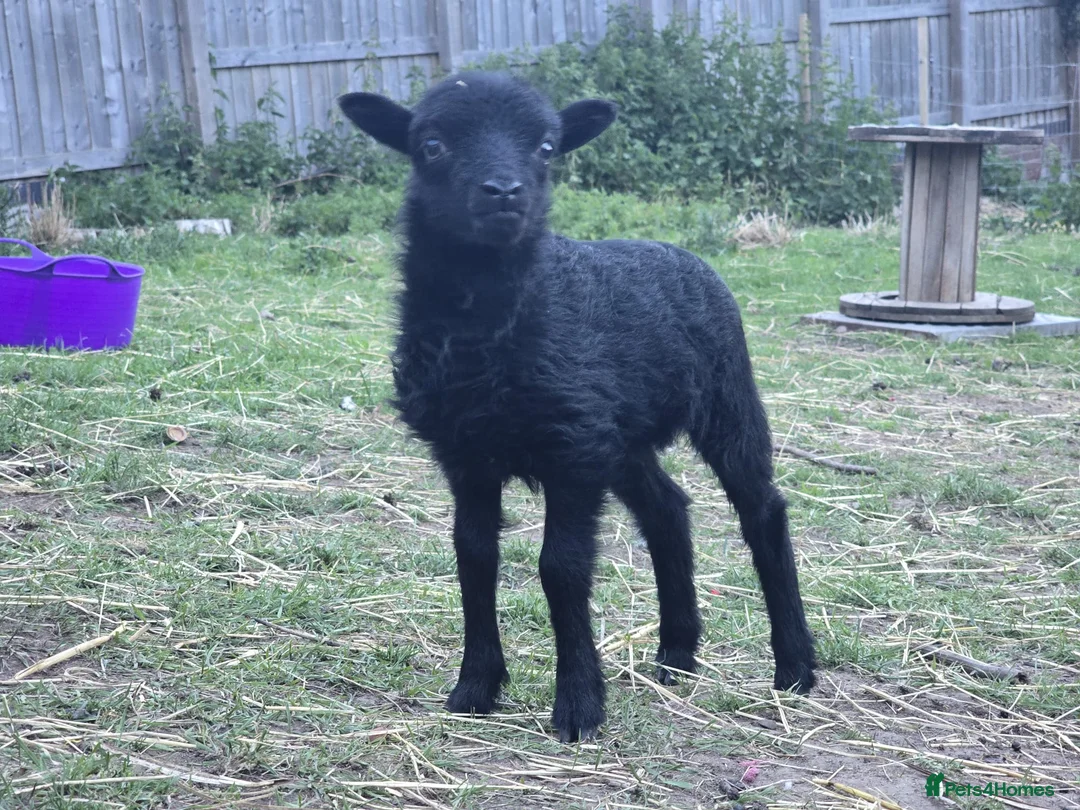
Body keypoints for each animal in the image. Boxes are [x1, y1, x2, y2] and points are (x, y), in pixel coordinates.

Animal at [338, 71, 817, 743]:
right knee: (668, 510)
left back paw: (795, 665)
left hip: (726, 399)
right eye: (429, 145)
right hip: (622, 438)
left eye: (546, 148)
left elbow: (560, 568)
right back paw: (676, 654)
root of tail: (682, 252)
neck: (488, 335)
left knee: (762, 511)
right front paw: (474, 688)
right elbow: (473, 557)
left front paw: (579, 706)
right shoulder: (468, 455)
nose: (503, 192)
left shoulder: (572, 451)